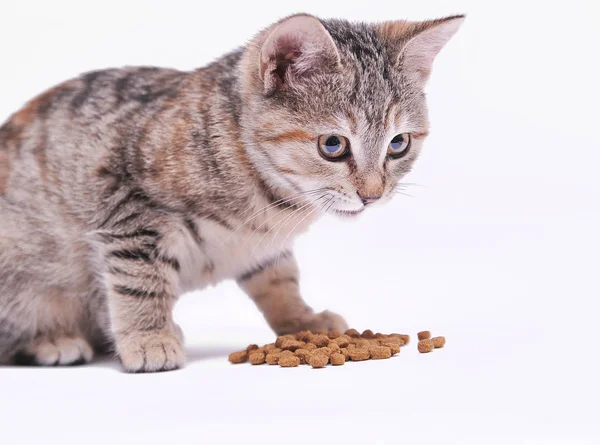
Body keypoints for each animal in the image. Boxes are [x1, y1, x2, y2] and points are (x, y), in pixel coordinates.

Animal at [0, 13, 464, 370]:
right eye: (332, 145)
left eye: (398, 144)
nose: (372, 195)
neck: (270, 195)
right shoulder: (127, 206)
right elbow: (140, 279)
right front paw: (149, 336)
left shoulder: (262, 245)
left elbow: (281, 279)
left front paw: (302, 320)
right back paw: (54, 341)